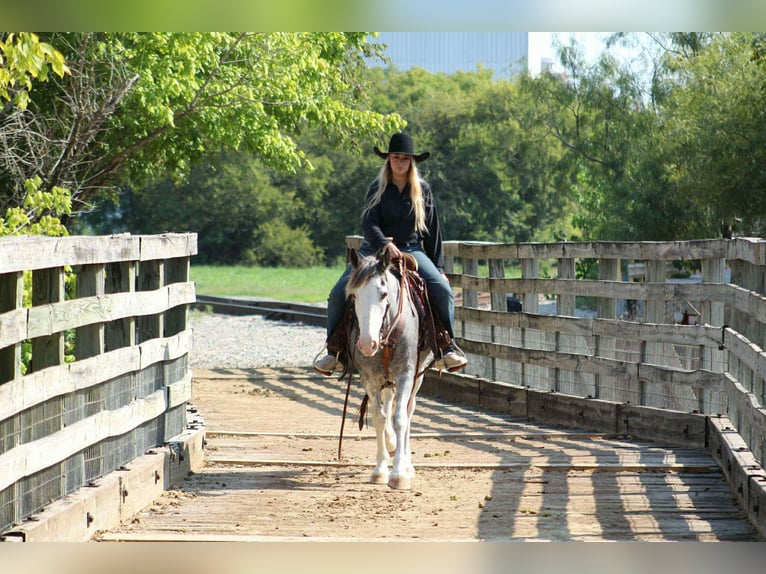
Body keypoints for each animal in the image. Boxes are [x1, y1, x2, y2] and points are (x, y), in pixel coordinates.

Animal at [344, 247, 434, 490]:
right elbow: (379, 418)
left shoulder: (406, 375)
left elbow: (400, 418)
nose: (367, 344)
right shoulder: (369, 378)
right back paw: (392, 445)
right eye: (354, 296)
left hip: (417, 377)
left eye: (383, 295)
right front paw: (380, 470)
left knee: (408, 411)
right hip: (386, 380)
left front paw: (399, 475)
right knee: (389, 403)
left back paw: (407, 463)